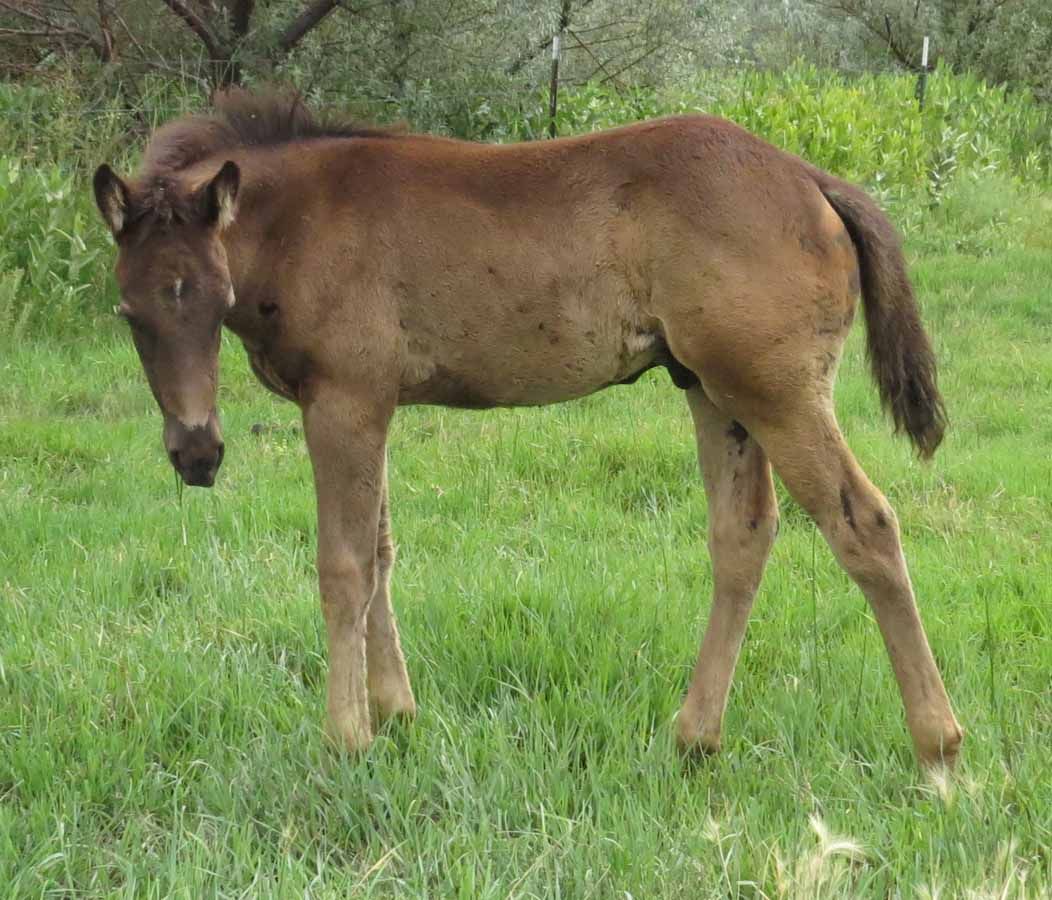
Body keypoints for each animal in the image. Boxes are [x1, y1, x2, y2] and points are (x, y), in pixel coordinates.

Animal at [92, 88, 962, 769]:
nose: (197, 453)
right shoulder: (371, 403)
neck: (304, 220)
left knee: (865, 524)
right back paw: (694, 738)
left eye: (213, 296)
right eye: (130, 313)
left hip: (775, 392)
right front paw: (398, 715)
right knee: (743, 536)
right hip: (715, 391)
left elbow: (344, 566)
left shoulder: (342, 402)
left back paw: (938, 752)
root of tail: (811, 178)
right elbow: (380, 554)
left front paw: (348, 738)